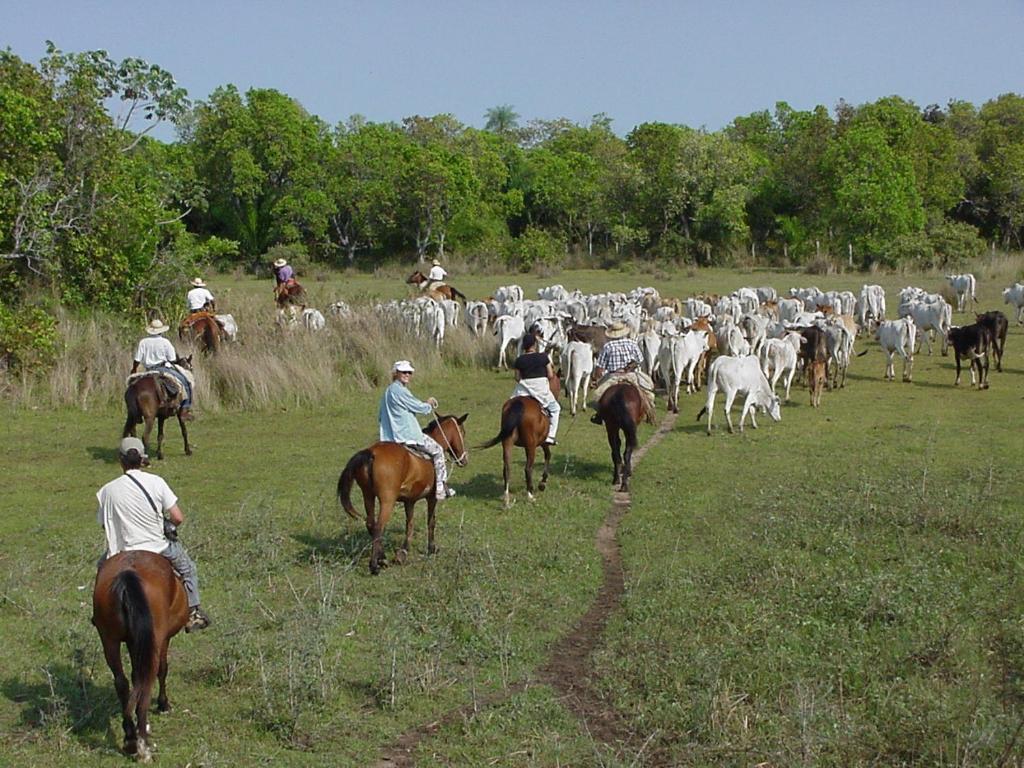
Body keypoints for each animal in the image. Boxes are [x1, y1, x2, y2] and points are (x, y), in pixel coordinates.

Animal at [92, 552, 188, 765]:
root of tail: (128, 574)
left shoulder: (132, 640)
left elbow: (135, 676)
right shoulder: (164, 639)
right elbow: (162, 670)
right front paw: (163, 705)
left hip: (109, 638)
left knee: (122, 681)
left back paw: (130, 739)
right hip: (154, 638)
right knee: (147, 681)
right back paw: (143, 745)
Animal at [335, 417, 468, 573]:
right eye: (462, 432)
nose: (464, 460)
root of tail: (371, 453)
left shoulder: (409, 501)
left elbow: (409, 524)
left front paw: (403, 551)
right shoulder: (432, 498)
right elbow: (431, 522)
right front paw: (432, 548)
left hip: (368, 495)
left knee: (370, 524)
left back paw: (382, 557)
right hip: (387, 500)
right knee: (378, 527)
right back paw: (375, 565)